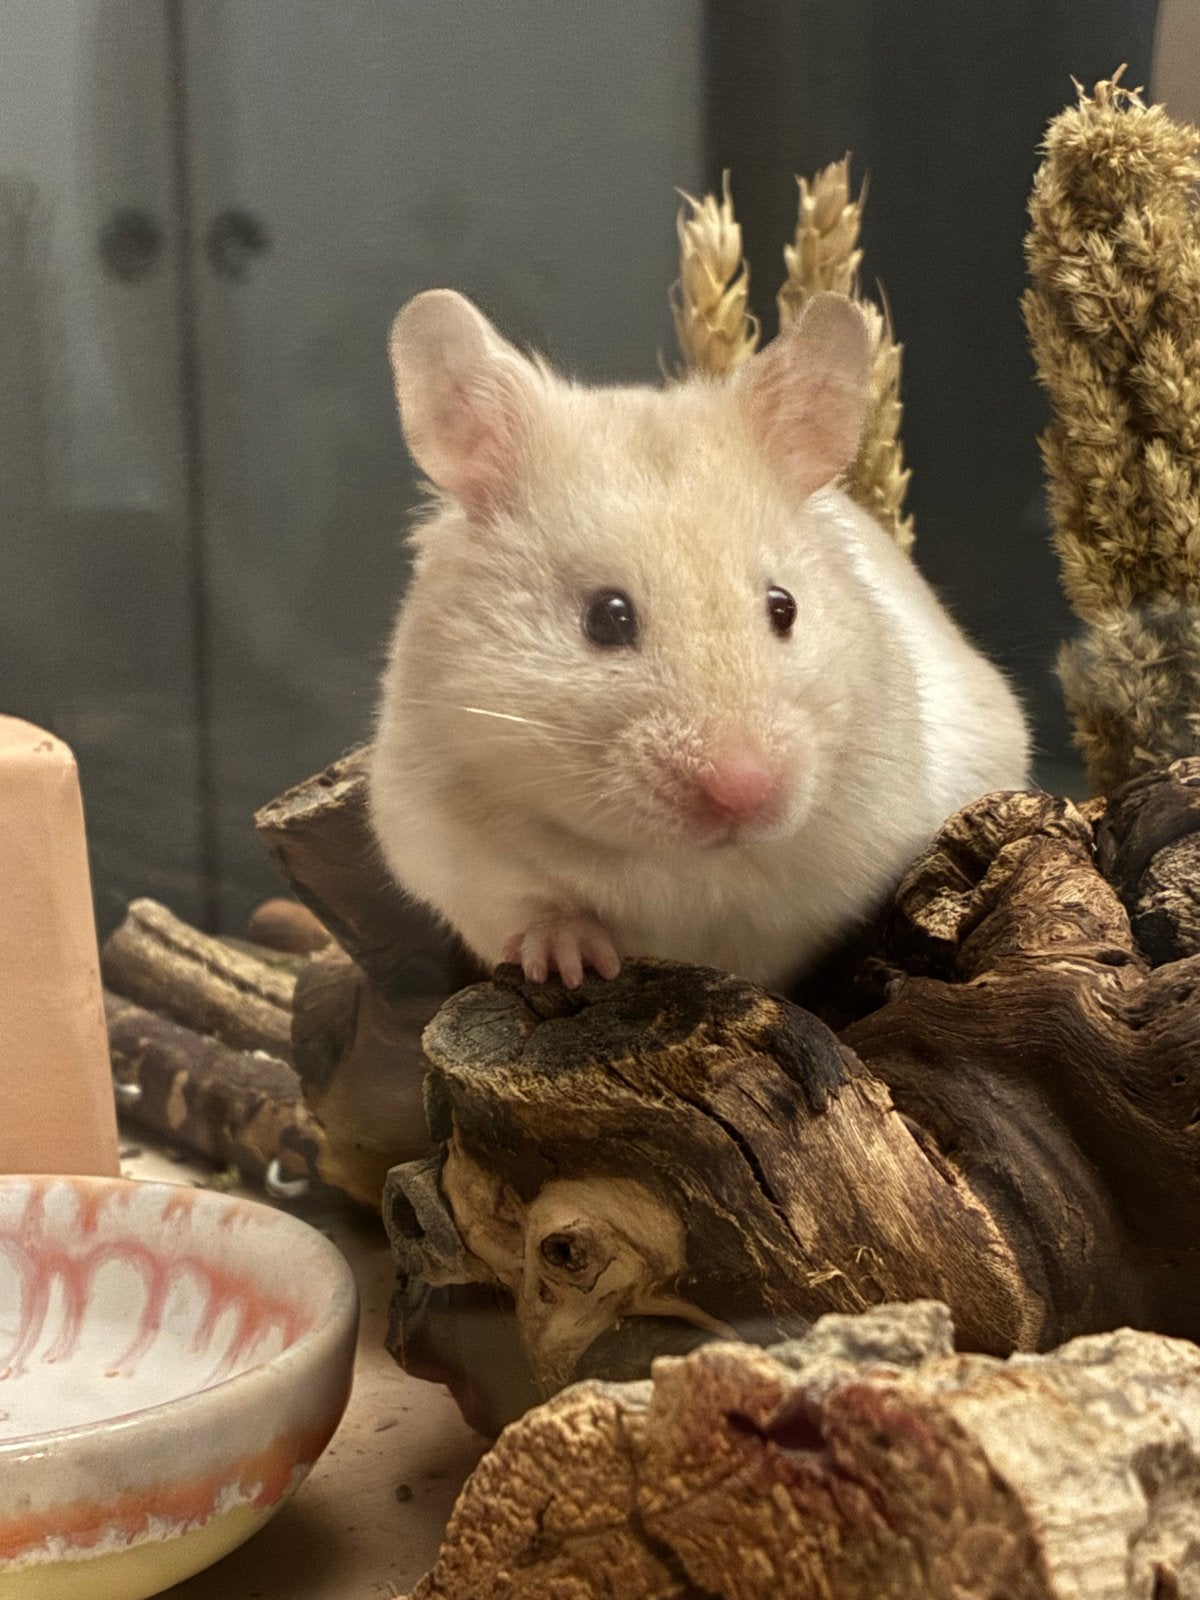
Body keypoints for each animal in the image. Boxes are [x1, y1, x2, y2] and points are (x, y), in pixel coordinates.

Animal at [368, 288, 1029, 991]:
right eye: (606, 618)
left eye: (784, 608)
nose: (747, 790)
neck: (675, 859)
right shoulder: (449, 849)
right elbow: (537, 907)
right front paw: (571, 963)